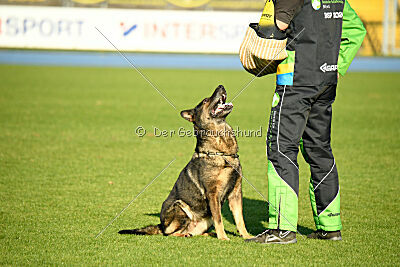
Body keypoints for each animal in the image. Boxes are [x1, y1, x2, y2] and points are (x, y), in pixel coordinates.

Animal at [119, 86, 250, 241]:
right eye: (205, 100)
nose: (221, 86)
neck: (222, 153)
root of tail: (160, 225)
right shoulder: (213, 194)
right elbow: (219, 219)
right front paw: (223, 238)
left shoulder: (236, 193)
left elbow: (240, 218)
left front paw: (246, 236)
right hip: (180, 206)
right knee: (169, 233)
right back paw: (185, 234)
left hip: (206, 219)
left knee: (195, 232)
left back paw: (207, 233)